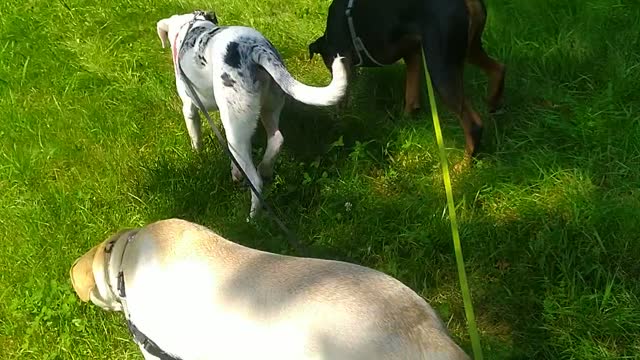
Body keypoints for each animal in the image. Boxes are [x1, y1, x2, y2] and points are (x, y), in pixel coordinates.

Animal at [310, 0, 504, 162]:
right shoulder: (413, 54)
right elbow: (411, 96)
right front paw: (405, 122)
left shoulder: (344, 62)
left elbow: (342, 101)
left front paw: (339, 122)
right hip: (468, 50)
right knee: (499, 69)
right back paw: (493, 104)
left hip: (440, 66)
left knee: (474, 125)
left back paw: (463, 166)